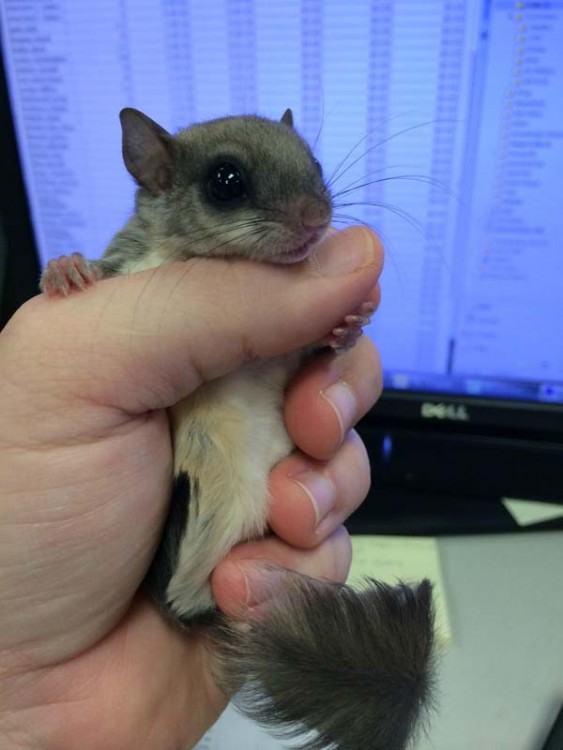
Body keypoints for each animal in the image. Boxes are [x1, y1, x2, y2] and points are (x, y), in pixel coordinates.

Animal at [40, 107, 436, 750]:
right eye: (226, 181)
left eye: (314, 162)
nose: (317, 218)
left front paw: (351, 325)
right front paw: (66, 268)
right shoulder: (130, 262)